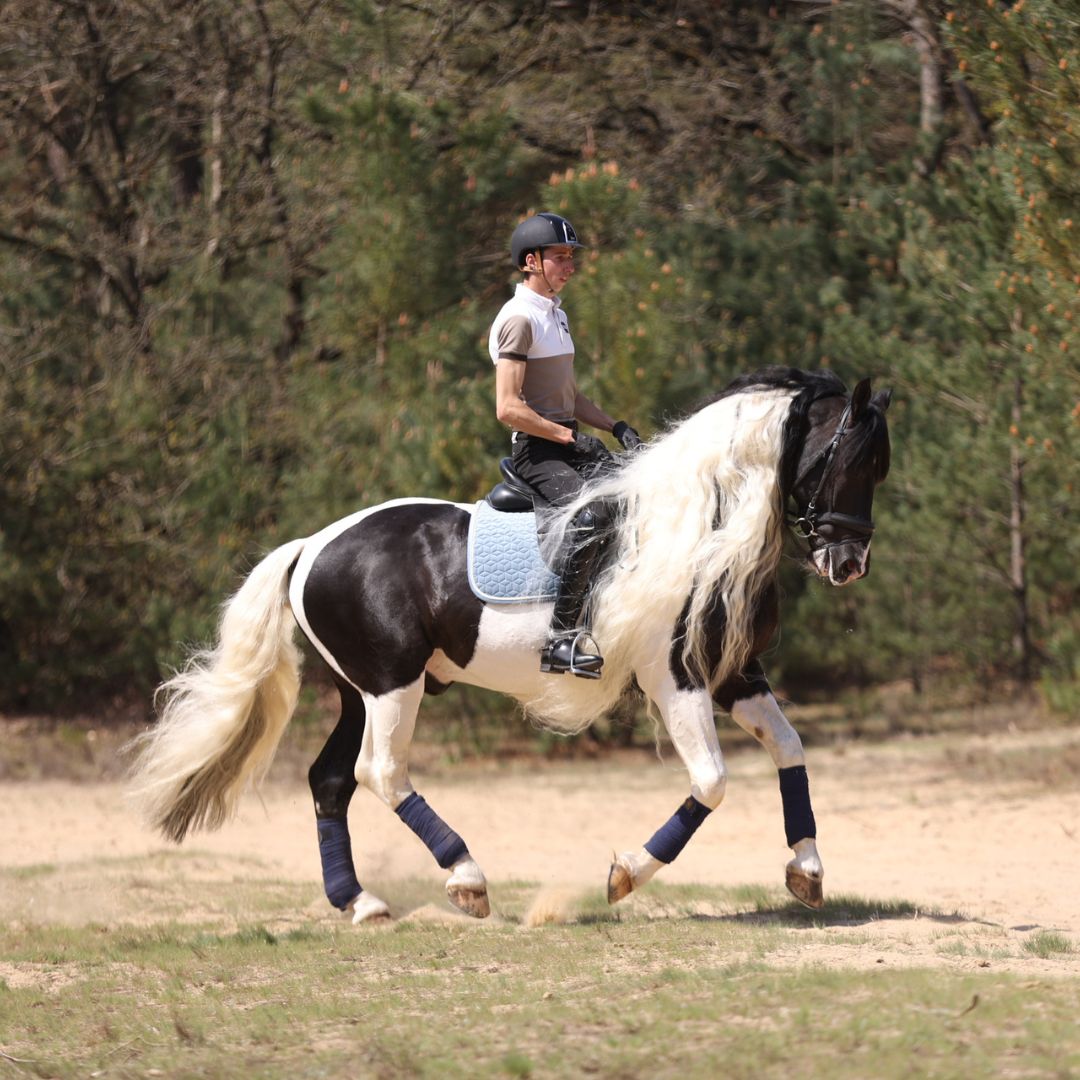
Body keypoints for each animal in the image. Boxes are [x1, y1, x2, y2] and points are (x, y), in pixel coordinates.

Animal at [128, 366, 891, 923]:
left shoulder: (733, 673)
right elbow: (711, 782)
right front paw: (623, 876)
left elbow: (789, 747)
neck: (695, 524)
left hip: (357, 690)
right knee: (381, 773)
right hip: (392, 685)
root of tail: (313, 544)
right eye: (854, 461)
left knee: (330, 782)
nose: (850, 564)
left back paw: (361, 903)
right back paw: (466, 878)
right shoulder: (674, 676)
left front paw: (806, 870)